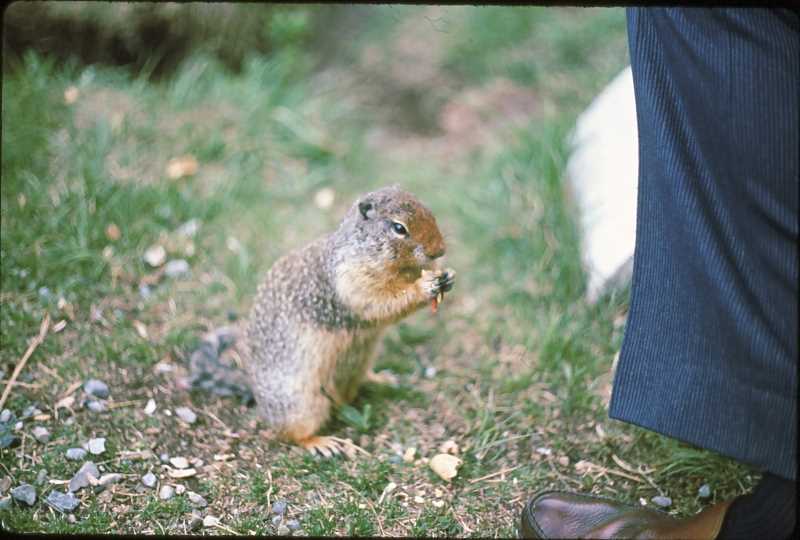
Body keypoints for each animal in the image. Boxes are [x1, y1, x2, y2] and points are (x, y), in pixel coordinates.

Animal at [188, 186, 455, 457]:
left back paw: (383, 380)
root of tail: (253, 388)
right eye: (399, 228)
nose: (440, 250)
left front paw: (446, 275)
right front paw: (425, 286)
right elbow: (381, 302)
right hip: (302, 403)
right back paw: (321, 443)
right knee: (289, 433)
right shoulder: (352, 281)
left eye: (429, 211)